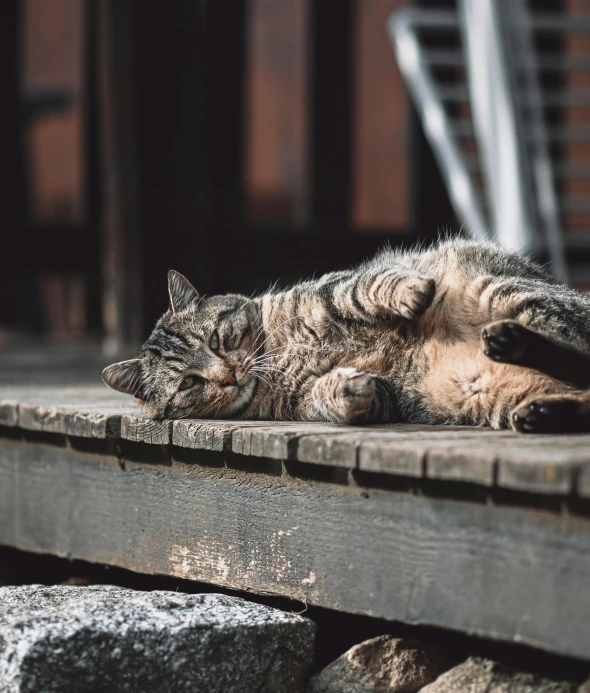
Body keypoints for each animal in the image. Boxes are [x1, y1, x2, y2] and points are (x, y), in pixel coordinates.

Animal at [100, 239, 590, 432]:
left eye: (216, 340)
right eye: (189, 383)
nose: (227, 377)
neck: (278, 356)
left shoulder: (332, 289)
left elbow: (368, 287)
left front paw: (412, 293)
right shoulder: (327, 400)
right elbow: (332, 397)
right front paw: (348, 387)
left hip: (507, 294)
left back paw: (509, 342)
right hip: (493, 392)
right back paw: (537, 403)